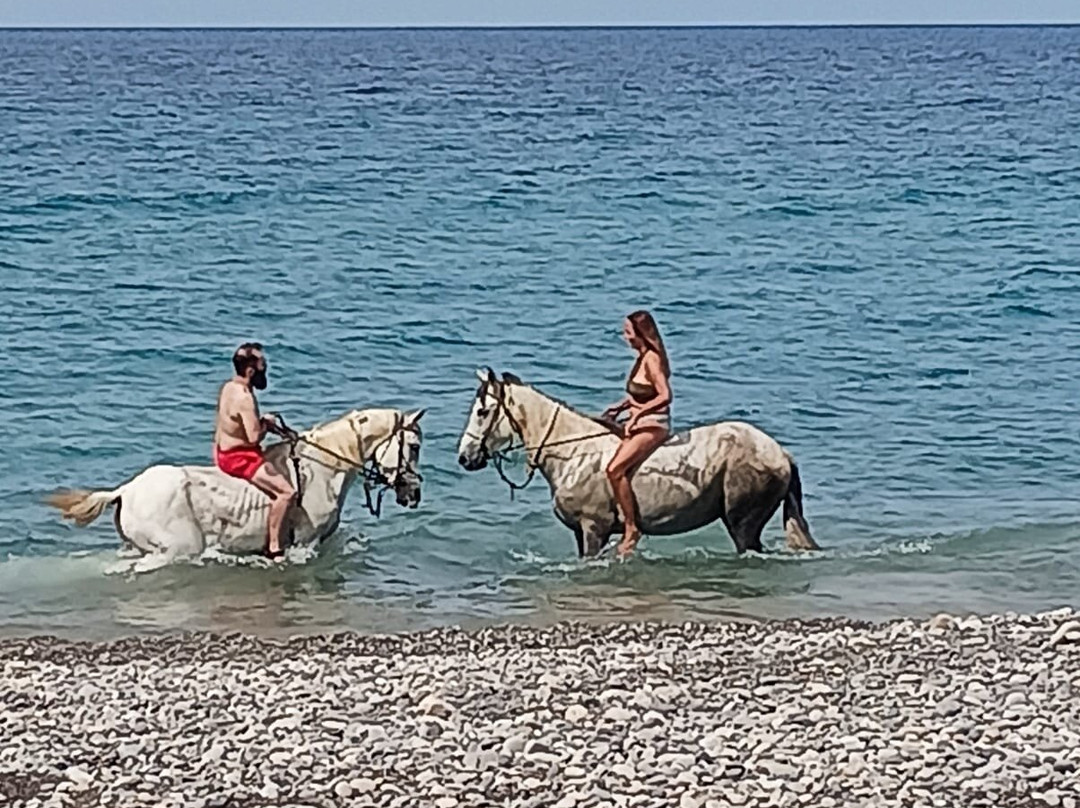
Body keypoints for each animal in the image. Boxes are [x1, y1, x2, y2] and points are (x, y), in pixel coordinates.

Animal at [47, 408, 425, 563]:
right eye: (415, 446)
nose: (414, 494)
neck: (322, 469)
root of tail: (126, 491)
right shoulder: (305, 543)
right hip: (174, 549)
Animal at [457, 369, 818, 557]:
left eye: (483, 411)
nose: (464, 457)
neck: (574, 454)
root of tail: (779, 452)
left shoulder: (594, 528)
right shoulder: (581, 532)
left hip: (743, 523)